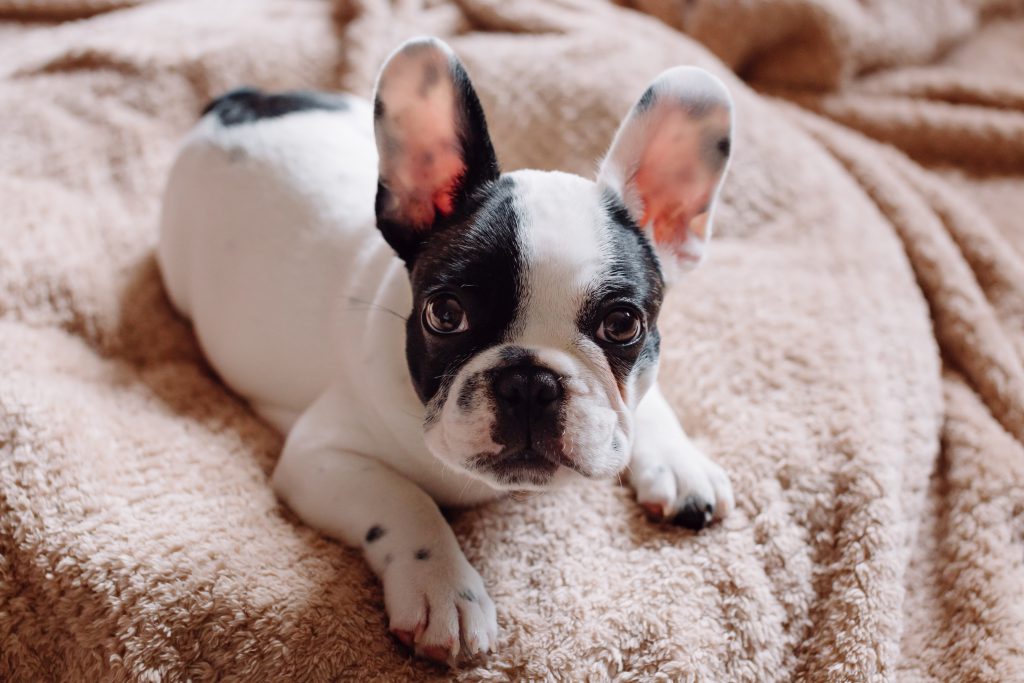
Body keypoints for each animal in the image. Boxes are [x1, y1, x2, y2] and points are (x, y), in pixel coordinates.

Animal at [157, 34, 737, 663]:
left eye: (624, 324)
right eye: (445, 314)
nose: (529, 381)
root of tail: (237, 103)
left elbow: (646, 403)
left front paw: (679, 461)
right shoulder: (320, 454)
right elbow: (406, 499)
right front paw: (443, 590)